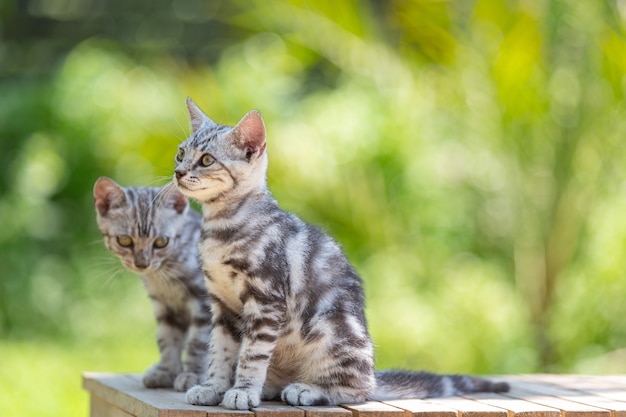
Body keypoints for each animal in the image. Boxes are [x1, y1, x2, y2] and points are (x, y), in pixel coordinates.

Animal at [91, 177, 211, 392]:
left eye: (161, 241)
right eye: (124, 240)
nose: (142, 263)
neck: (164, 276)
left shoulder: (205, 301)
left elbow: (198, 341)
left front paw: (194, 374)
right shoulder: (165, 306)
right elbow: (167, 339)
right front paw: (166, 371)